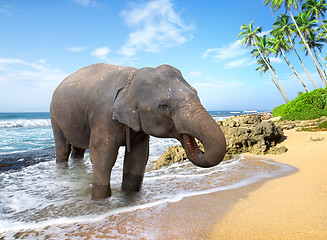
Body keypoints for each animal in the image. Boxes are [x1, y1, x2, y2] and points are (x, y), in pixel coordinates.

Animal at [50, 62, 227, 200]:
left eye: (196, 92)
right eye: (164, 105)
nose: (200, 150)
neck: (130, 80)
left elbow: (138, 157)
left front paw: (129, 196)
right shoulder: (103, 116)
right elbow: (102, 157)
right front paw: (100, 201)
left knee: (78, 150)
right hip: (54, 117)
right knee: (63, 148)